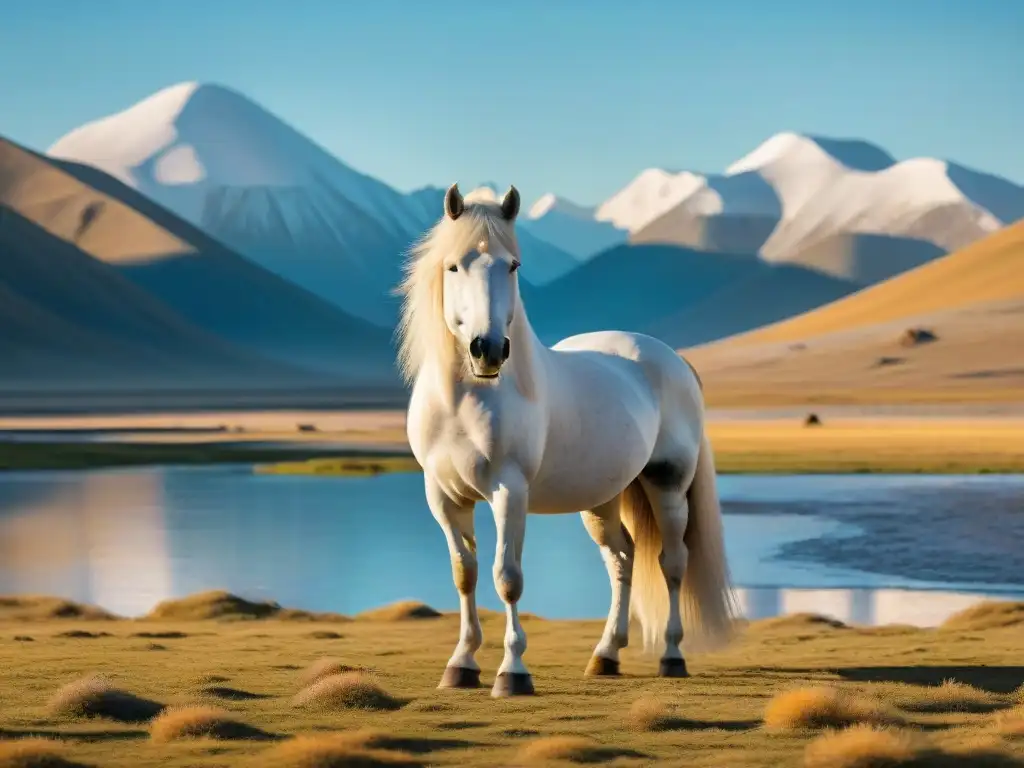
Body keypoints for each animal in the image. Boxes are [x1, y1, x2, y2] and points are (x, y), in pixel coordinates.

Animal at [397, 182, 737, 696]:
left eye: (512, 265)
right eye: (454, 265)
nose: (488, 349)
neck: (468, 400)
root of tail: (673, 359)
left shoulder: (508, 492)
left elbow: (506, 576)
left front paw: (512, 672)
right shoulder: (443, 496)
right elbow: (464, 573)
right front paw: (461, 664)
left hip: (668, 484)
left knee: (673, 561)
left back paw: (672, 656)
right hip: (604, 499)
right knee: (623, 559)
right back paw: (606, 655)